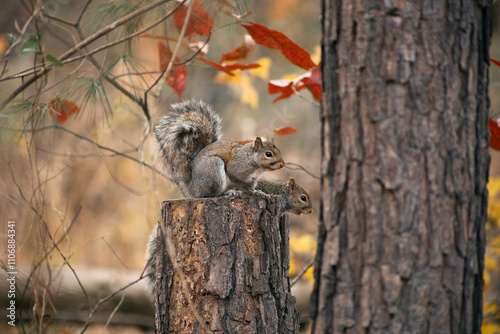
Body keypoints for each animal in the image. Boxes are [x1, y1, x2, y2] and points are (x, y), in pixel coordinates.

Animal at [152, 100, 286, 197]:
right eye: (268, 154)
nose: (282, 164)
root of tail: (194, 190)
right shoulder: (238, 165)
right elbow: (236, 175)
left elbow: (251, 188)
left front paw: (258, 192)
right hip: (214, 169)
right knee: (213, 194)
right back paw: (228, 192)